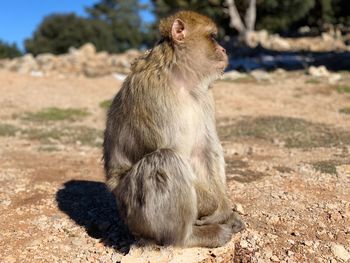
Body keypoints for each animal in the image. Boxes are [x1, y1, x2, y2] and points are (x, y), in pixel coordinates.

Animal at [102, 10, 245, 250]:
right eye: (213, 37)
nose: (224, 50)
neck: (180, 78)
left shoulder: (205, 96)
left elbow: (205, 150)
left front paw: (224, 208)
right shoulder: (154, 94)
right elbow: (175, 151)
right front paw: (214, 207)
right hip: (134, 215)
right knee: (164, 159)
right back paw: (191, 237)